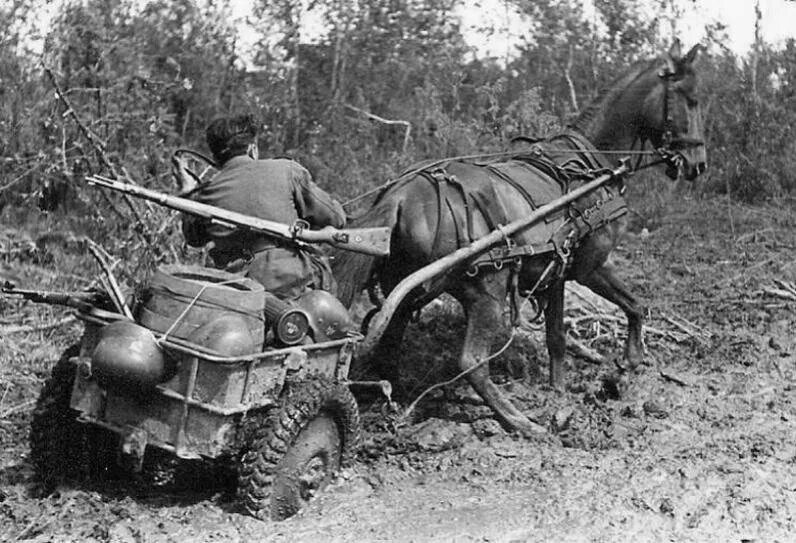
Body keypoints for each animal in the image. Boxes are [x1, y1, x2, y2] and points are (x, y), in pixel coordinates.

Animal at [332, 40, 704, 436]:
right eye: (692, 100)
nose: (699, 163)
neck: (590, 167)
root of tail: (401, 196)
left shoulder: (558, 273)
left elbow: (557, 337)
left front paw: (559, 390)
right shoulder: (590, 267)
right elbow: (635, 305)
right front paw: (629, 361)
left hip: (406, 291)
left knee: (390, 344)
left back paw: (396, 404)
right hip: (488, 292)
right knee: (472, 361)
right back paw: (517, 420)